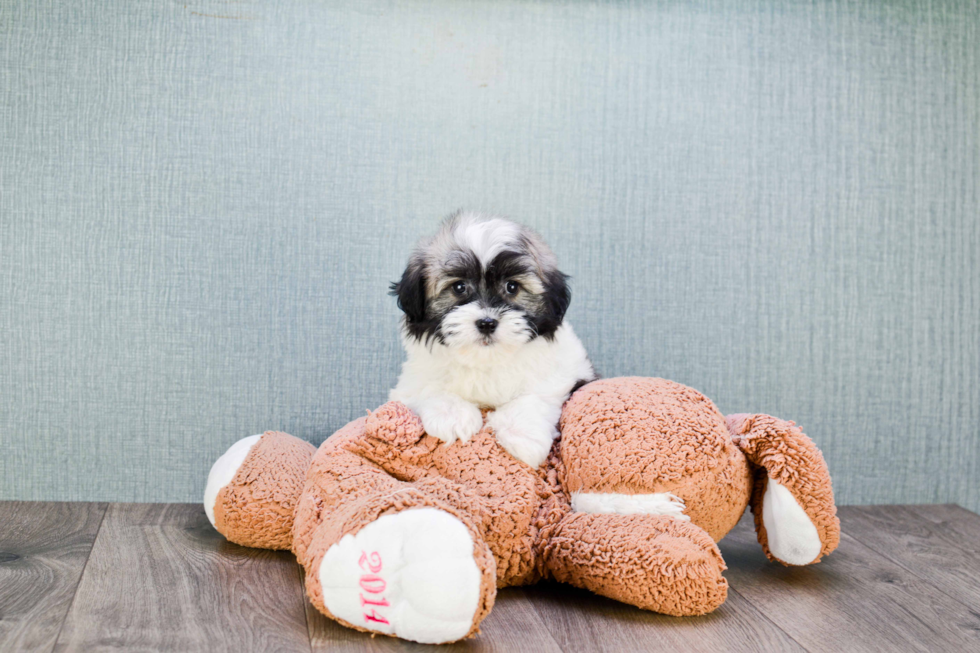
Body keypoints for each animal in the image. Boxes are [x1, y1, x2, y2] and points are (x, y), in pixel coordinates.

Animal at [390, 211, 596, 466]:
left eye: (512, 287)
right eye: (459, 287)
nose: (487, 323)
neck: (486, 359)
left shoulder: (569, 372)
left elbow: (537, 394)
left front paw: (523, 433)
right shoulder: (410, 383)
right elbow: (428, 388)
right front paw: (452, 416)